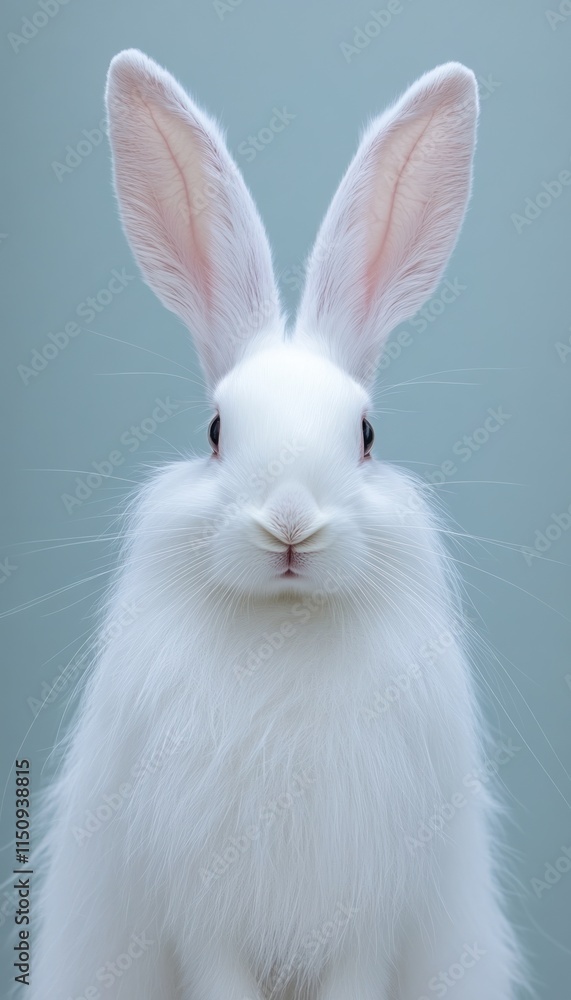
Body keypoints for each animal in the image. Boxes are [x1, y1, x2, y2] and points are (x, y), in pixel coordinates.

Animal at [29, 51, 524, 1000]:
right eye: (216, 431)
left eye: (365, 435)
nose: (289, 524)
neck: (284, 632)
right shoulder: (203, 917)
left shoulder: (367, 918)